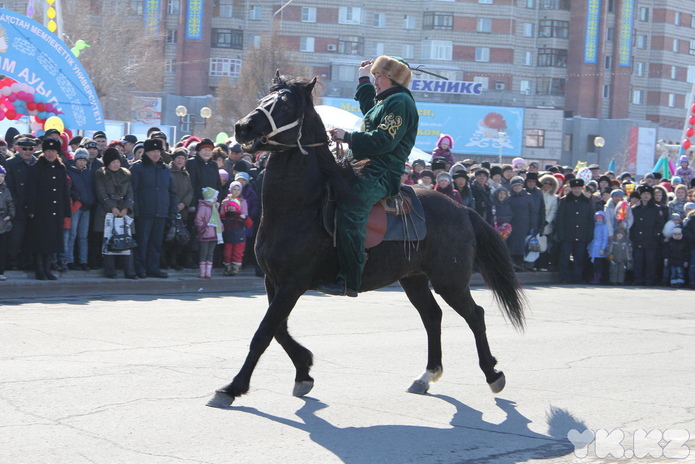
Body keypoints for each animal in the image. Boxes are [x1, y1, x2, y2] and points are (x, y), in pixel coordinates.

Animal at [208, 74, 528, 408]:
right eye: (262, 101)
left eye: (285, 105)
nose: (243, 127)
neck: (301, 206)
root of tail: (462, 209)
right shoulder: (274, 280)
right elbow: (279, 330)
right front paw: (304, 369)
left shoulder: (292, 283)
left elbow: (264, 333)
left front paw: (233, 387)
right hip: (413, 278)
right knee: (432, 316)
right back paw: (427, 375)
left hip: (449, 280)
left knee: (474, 315)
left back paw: (492, 374)